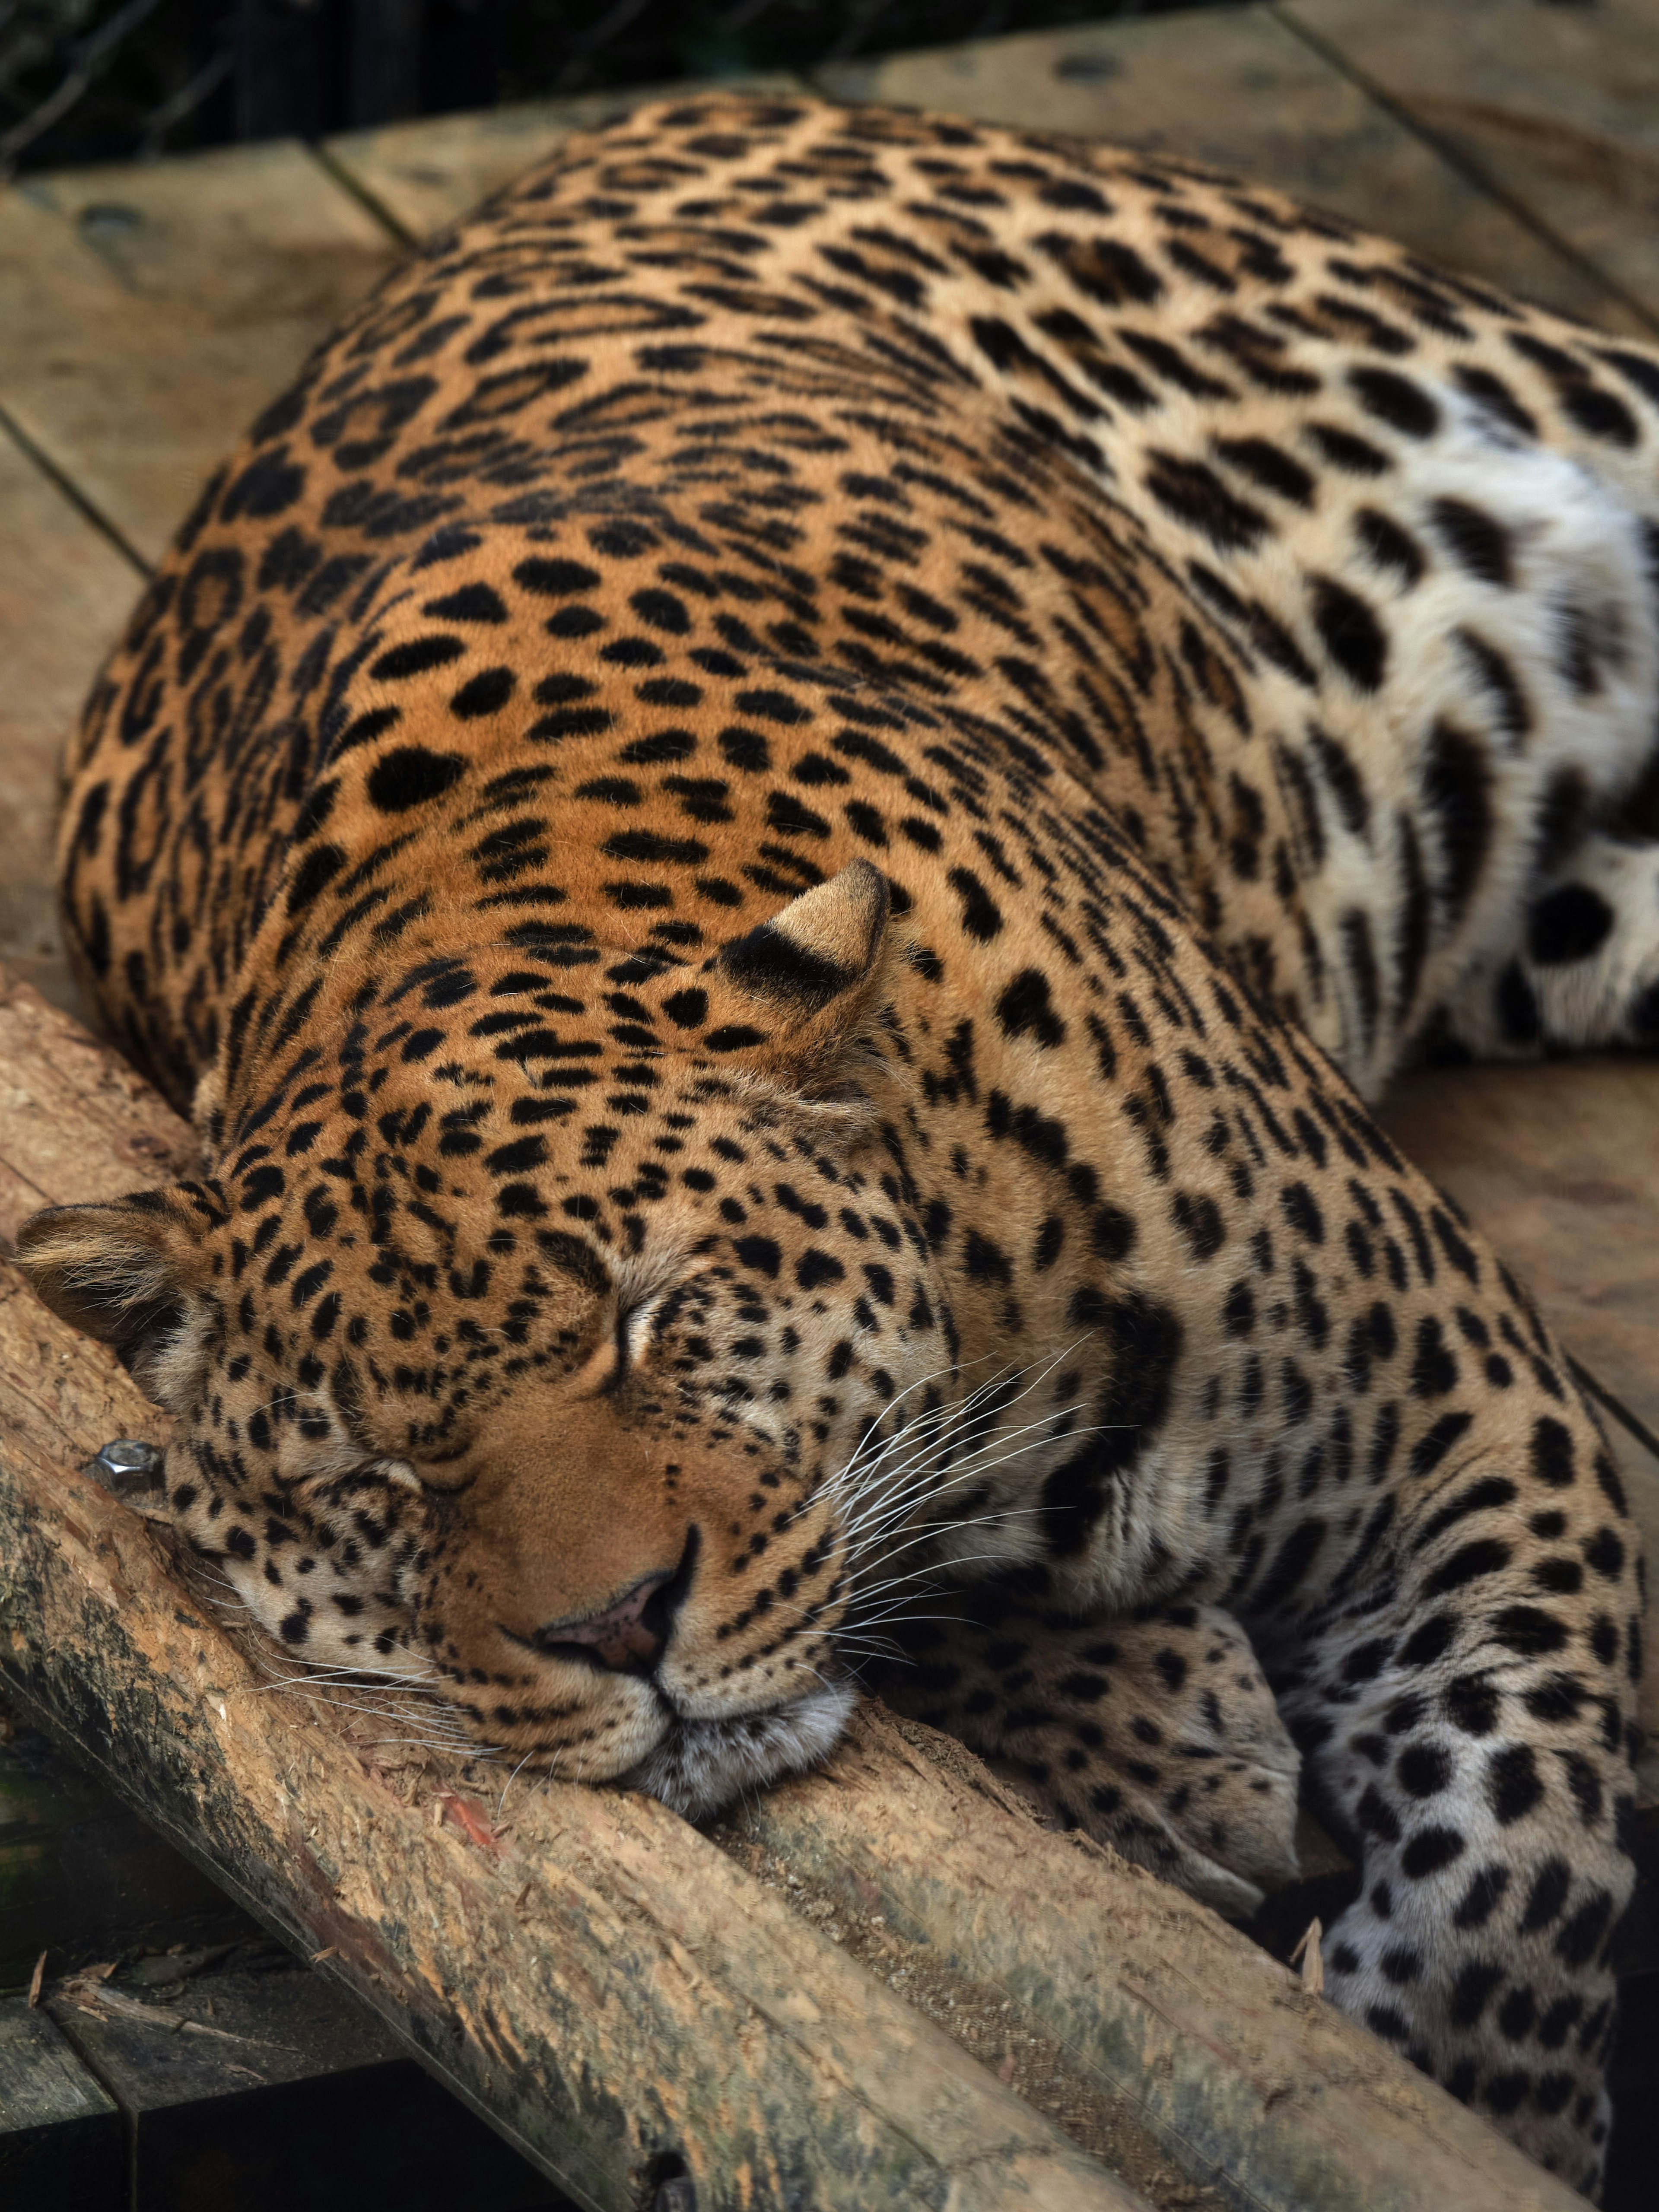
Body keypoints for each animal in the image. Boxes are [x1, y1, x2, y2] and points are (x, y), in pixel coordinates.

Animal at [19, 90, 1654, 2194]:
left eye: (656, 1317)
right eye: (368, 1480)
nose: (614, 1625)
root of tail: (647, 123)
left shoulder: (1473, 1407)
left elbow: (1516, 1858)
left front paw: (1479, 2093)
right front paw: (1160, 1725)